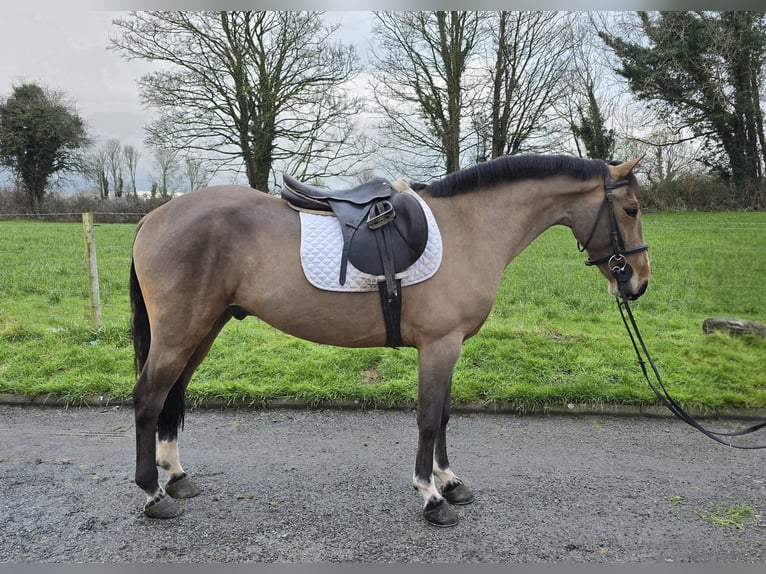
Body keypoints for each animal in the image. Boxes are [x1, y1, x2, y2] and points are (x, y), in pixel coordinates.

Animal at [129, 154, 650, 527]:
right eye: (631, 209)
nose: (639, 283)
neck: (470, 228)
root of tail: (154, 217)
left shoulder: (450, 346)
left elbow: (444, 414)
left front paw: (450, 481)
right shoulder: (439, 345)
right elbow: (427, 418)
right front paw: (432, 497)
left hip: (204, 329)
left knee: (174, 395)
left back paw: (176, 478)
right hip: (180, 333)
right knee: (149, 398)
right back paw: (154, 494)